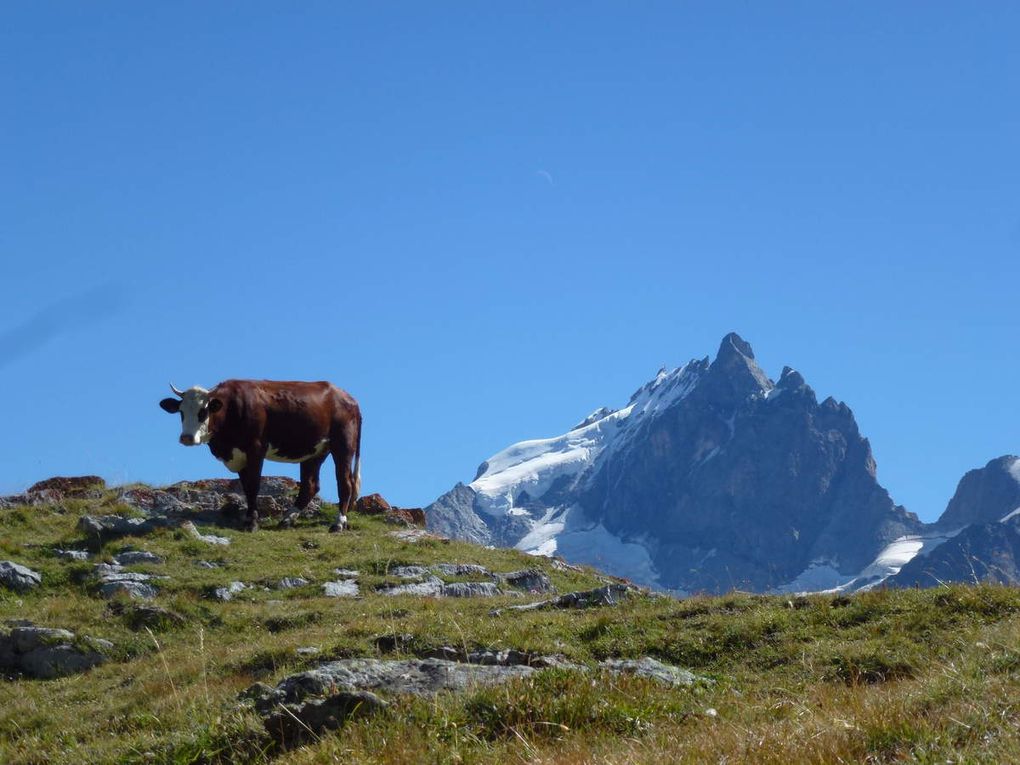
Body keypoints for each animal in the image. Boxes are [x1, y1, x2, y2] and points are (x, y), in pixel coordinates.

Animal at [159, 379, 363, 534]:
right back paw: (287, 519)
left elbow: (253, 485)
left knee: (345, 482)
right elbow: (246, 487)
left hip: (343, 444)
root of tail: (348, 398)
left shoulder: (256, 449)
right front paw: (248, 520)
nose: (187, 437)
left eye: (203, 411)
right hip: (315, 452)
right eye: (181, 412)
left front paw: (253, 522)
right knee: (310, 485)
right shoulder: (239, 456)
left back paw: (338, 523)